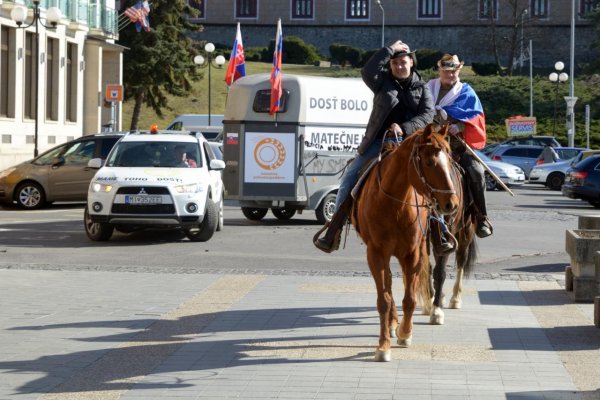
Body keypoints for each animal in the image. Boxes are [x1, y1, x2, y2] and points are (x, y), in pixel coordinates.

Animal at [350, 123, 458, 360]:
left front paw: (405, 334)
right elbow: (383, 299)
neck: (394, 205)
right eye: (429, 162)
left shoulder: (412, 253)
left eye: (450, 158)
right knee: (389, 285)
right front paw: (383, 346)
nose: (451, 203)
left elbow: (410, 299)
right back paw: (391, 323)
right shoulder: (376, 253)